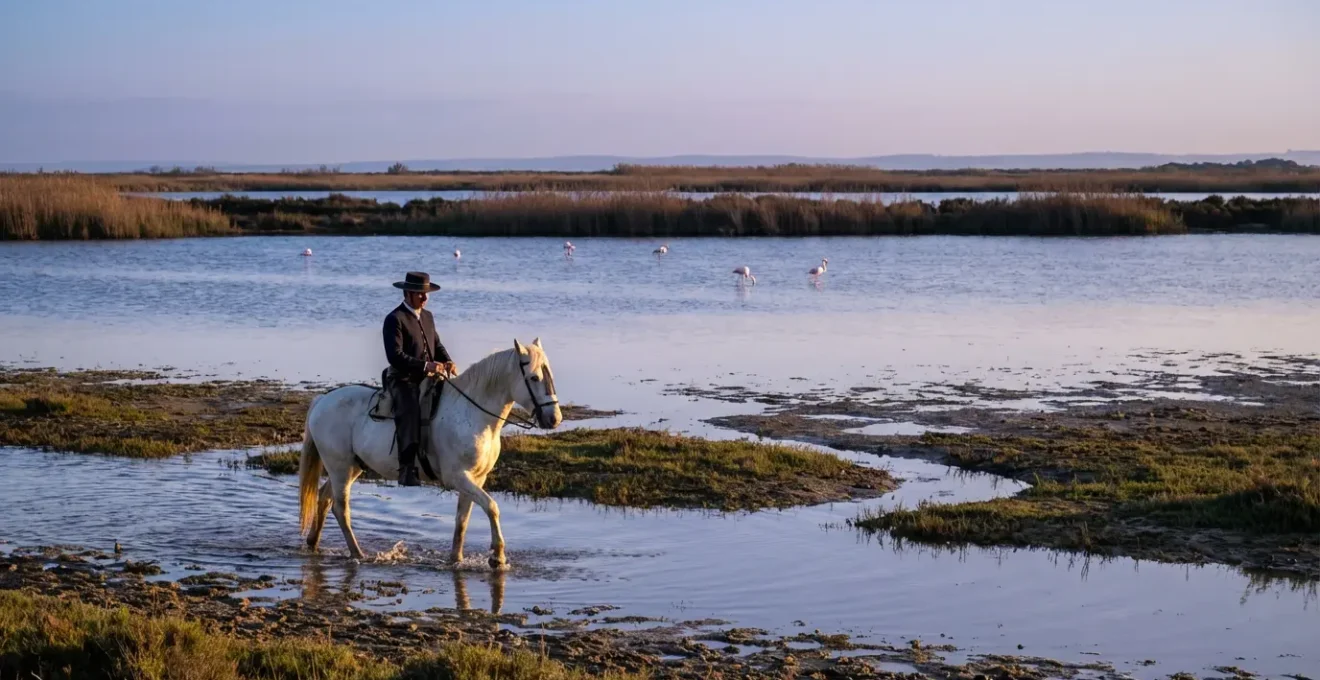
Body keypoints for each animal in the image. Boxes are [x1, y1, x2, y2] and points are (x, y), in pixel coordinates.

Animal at [297, 338, 562, 569]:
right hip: (340, 467)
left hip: (352, 467)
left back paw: (313, 543)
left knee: (325, 498)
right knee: (341, 508)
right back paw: (357, 554)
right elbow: (492, 507)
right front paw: (498, 557)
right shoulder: (458, 477)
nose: (554, 419)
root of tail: (322, 400)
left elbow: (462, 520)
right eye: (534, 377)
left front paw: (456, 559)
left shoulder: (476, 479)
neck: (472, 414)